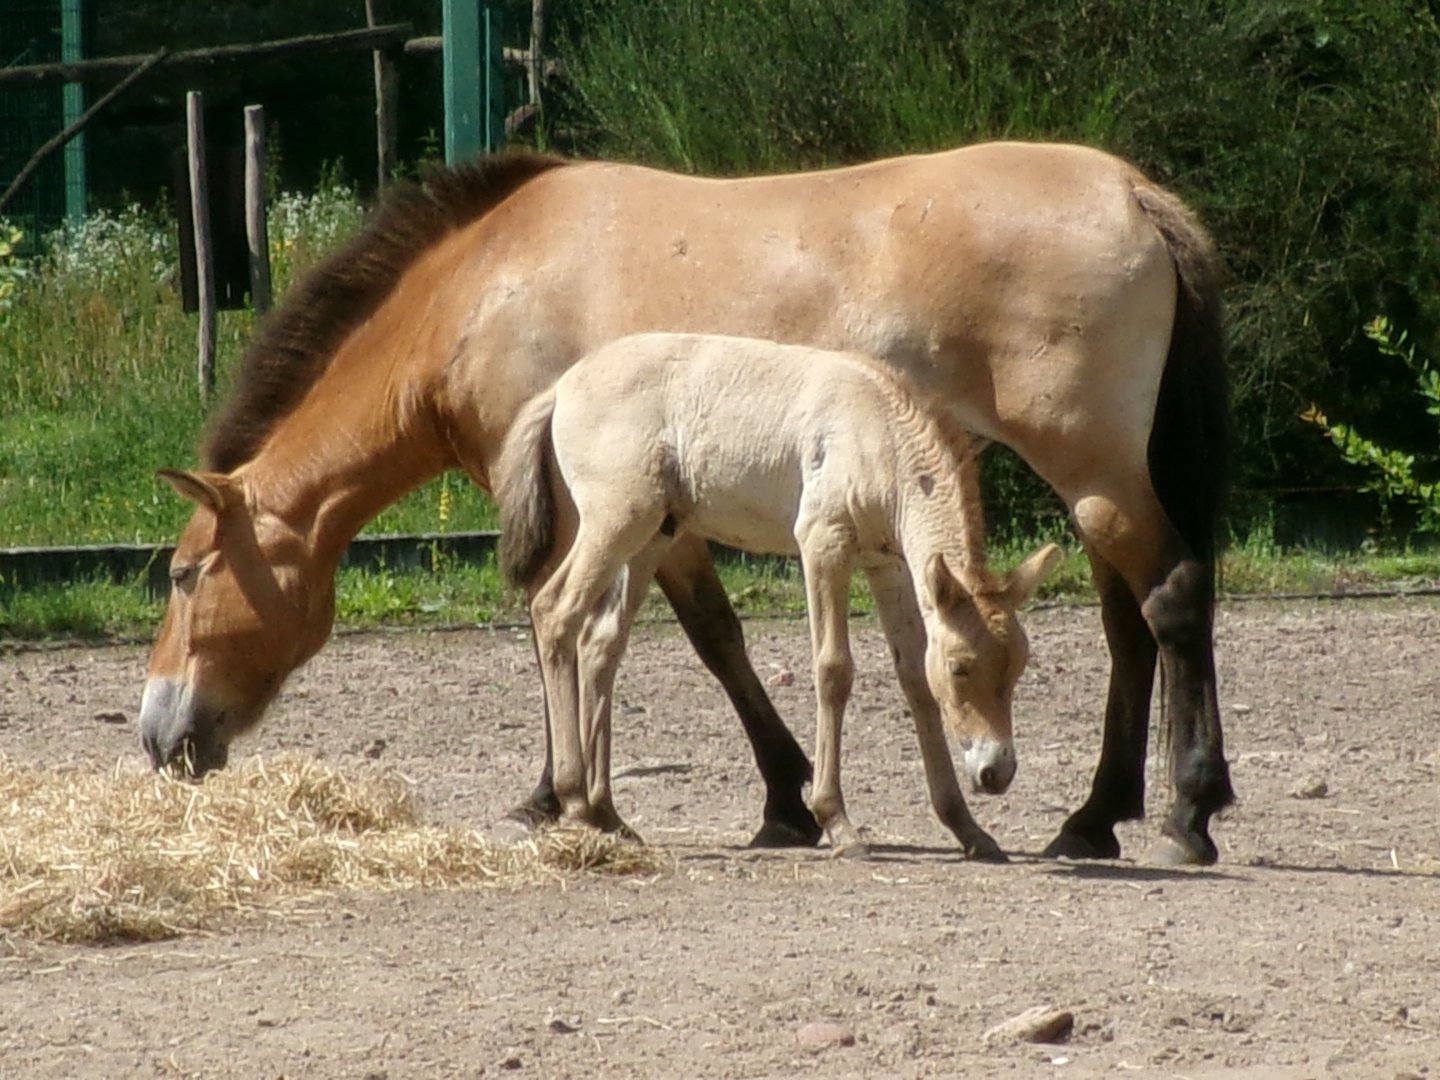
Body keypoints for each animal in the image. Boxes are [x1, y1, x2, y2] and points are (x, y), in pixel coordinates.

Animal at [495, 331, 1059, 858]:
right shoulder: (823, 545)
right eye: (962, 668)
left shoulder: (888, 565)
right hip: (614, 522)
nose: (995, 772)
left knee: (600, 644)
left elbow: (915, 678)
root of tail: (562, 387)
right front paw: (837, 822)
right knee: (555, 611)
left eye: (1018, 667)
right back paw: (573, 799)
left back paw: (609, 815)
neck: (877, 433)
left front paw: (968, 828)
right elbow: (833, 670)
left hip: (652, 536)